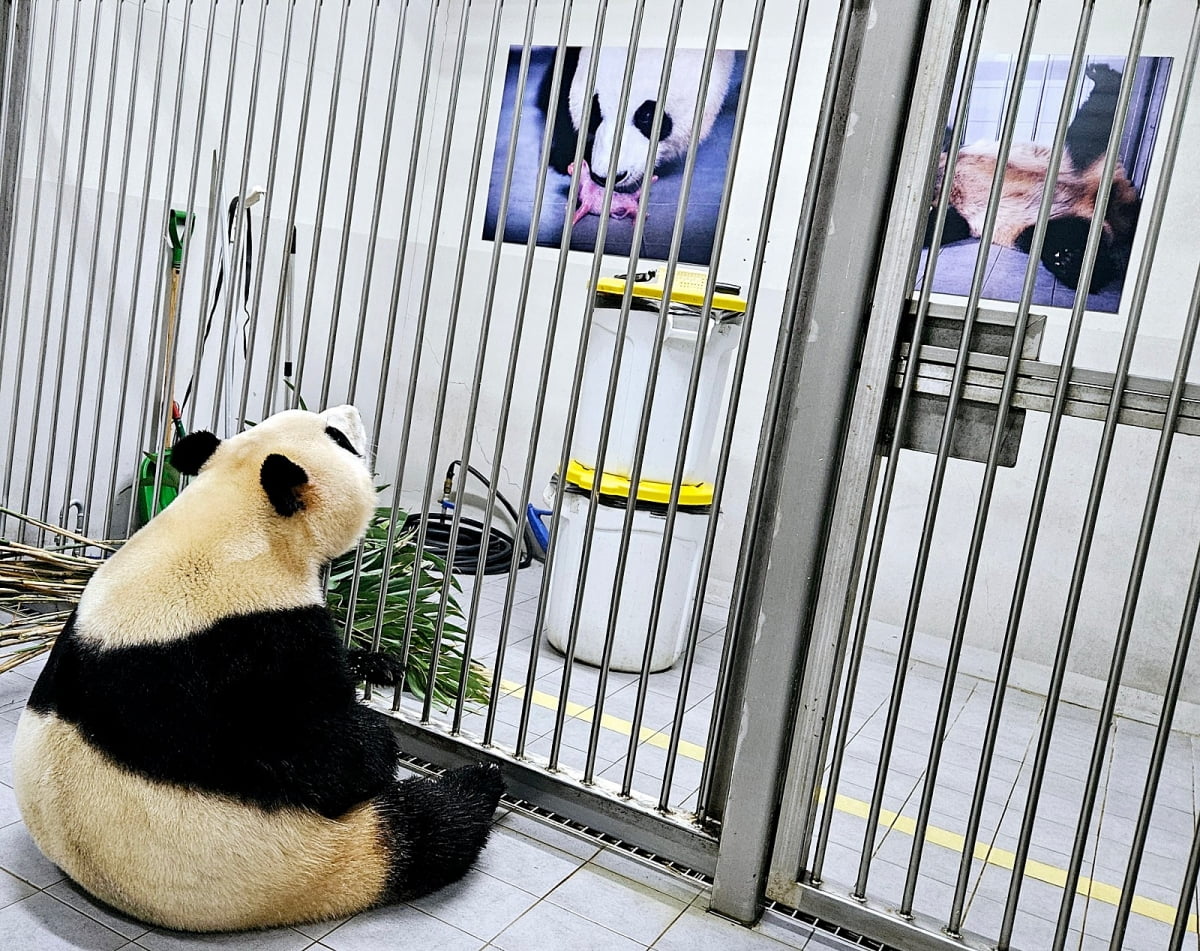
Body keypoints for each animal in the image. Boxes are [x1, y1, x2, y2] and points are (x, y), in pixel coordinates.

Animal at [11, 405, 504, 931]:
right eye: (337, 438)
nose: (351, 412)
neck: (237, 521)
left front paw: (381, 664)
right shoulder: (241, 648)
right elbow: (312, 749)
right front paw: (378, 743)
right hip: (312, 859)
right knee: (430, 828)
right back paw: (481, 780)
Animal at [926, 63, 1142, 292]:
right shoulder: (960, 215)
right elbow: (948, 224)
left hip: (1068, 160)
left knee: (1088, 126)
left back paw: (1101, 76)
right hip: (1037, 222)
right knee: (1067, 236)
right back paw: (1072, 263)